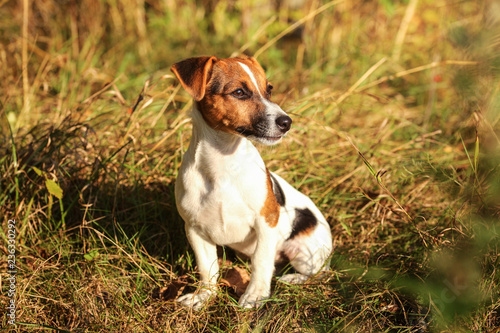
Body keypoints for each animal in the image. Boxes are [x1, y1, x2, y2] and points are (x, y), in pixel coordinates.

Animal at [171, 55, 332, 308]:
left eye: (269, 89)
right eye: (239, 92)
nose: (287, 122)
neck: (222, 164)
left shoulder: (266, 222)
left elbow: (261, 261)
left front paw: (256, 295)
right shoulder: (195, 229)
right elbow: (207, 268)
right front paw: (204, 296)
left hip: (305, 252)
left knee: (319, 273)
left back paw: (294, 279)